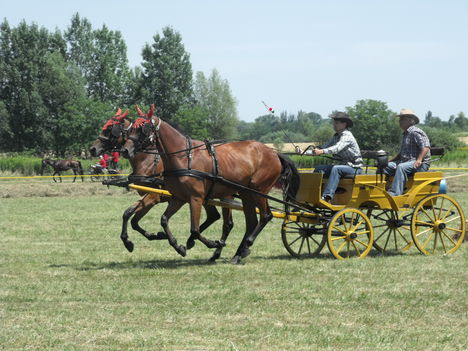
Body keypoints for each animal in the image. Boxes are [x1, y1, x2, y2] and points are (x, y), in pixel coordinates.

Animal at [89, 106, 234, 262]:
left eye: (111, 130)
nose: (92, 149)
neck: (147, 160)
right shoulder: (151, 197)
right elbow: (130, 216)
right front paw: (141, 239)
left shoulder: (153, 196)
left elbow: (134, 217)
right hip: (206, 197)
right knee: (214, 216)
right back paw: (194, 242)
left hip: (223, 196)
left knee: (227, 224)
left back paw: (217, 249)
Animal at [120, 107, 300, 264]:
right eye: (129, 130)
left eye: (143, 129)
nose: (124, 151)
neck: (184, 157)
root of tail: (274, 153)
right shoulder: (178, 198)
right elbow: (162, 220)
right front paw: (178, 246)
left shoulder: (194, 198)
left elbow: (194, 229)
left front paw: (212, 243)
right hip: (246, 194)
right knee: (250, 222)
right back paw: (238, 254)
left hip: (257, 190)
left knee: (264, 216)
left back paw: (244, 245)